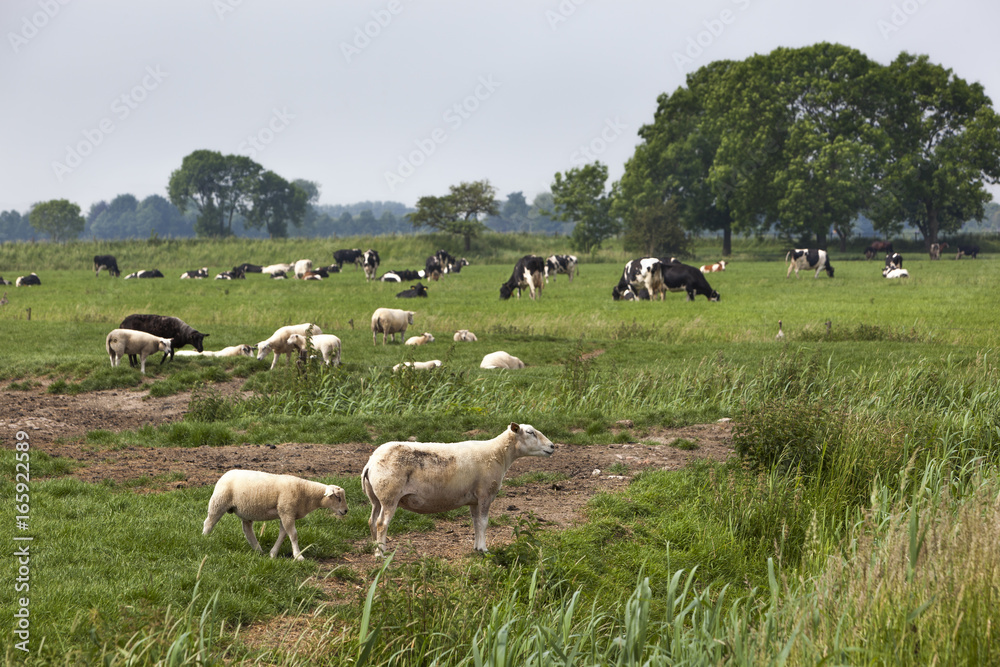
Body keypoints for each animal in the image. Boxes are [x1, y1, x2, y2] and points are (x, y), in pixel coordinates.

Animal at [201, 470, 350, 564]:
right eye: (338, 497)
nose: (346, 511)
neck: (306, 493)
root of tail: (225, 474)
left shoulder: (285, 514)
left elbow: (283, 534)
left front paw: (273, 554)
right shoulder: (287, 512)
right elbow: (293, 535)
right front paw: (298, 556)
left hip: (245, 510)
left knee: (247, 529)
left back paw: (258, 550)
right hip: (219, 502)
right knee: (209, 522)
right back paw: (205, 539)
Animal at [366, 422, 560, 560]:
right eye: (530, 432)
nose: (552, 447)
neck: (498, 454)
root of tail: (371, 462)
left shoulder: (474, 499)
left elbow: (476, 523)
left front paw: (477, 547)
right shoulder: (485, 495)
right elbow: (484, 522)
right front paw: (484, 549)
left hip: (375, 499)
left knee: (372, 521)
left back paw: (375, 549)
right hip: (389, 496)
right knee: (381, 523)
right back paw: (381, 554)